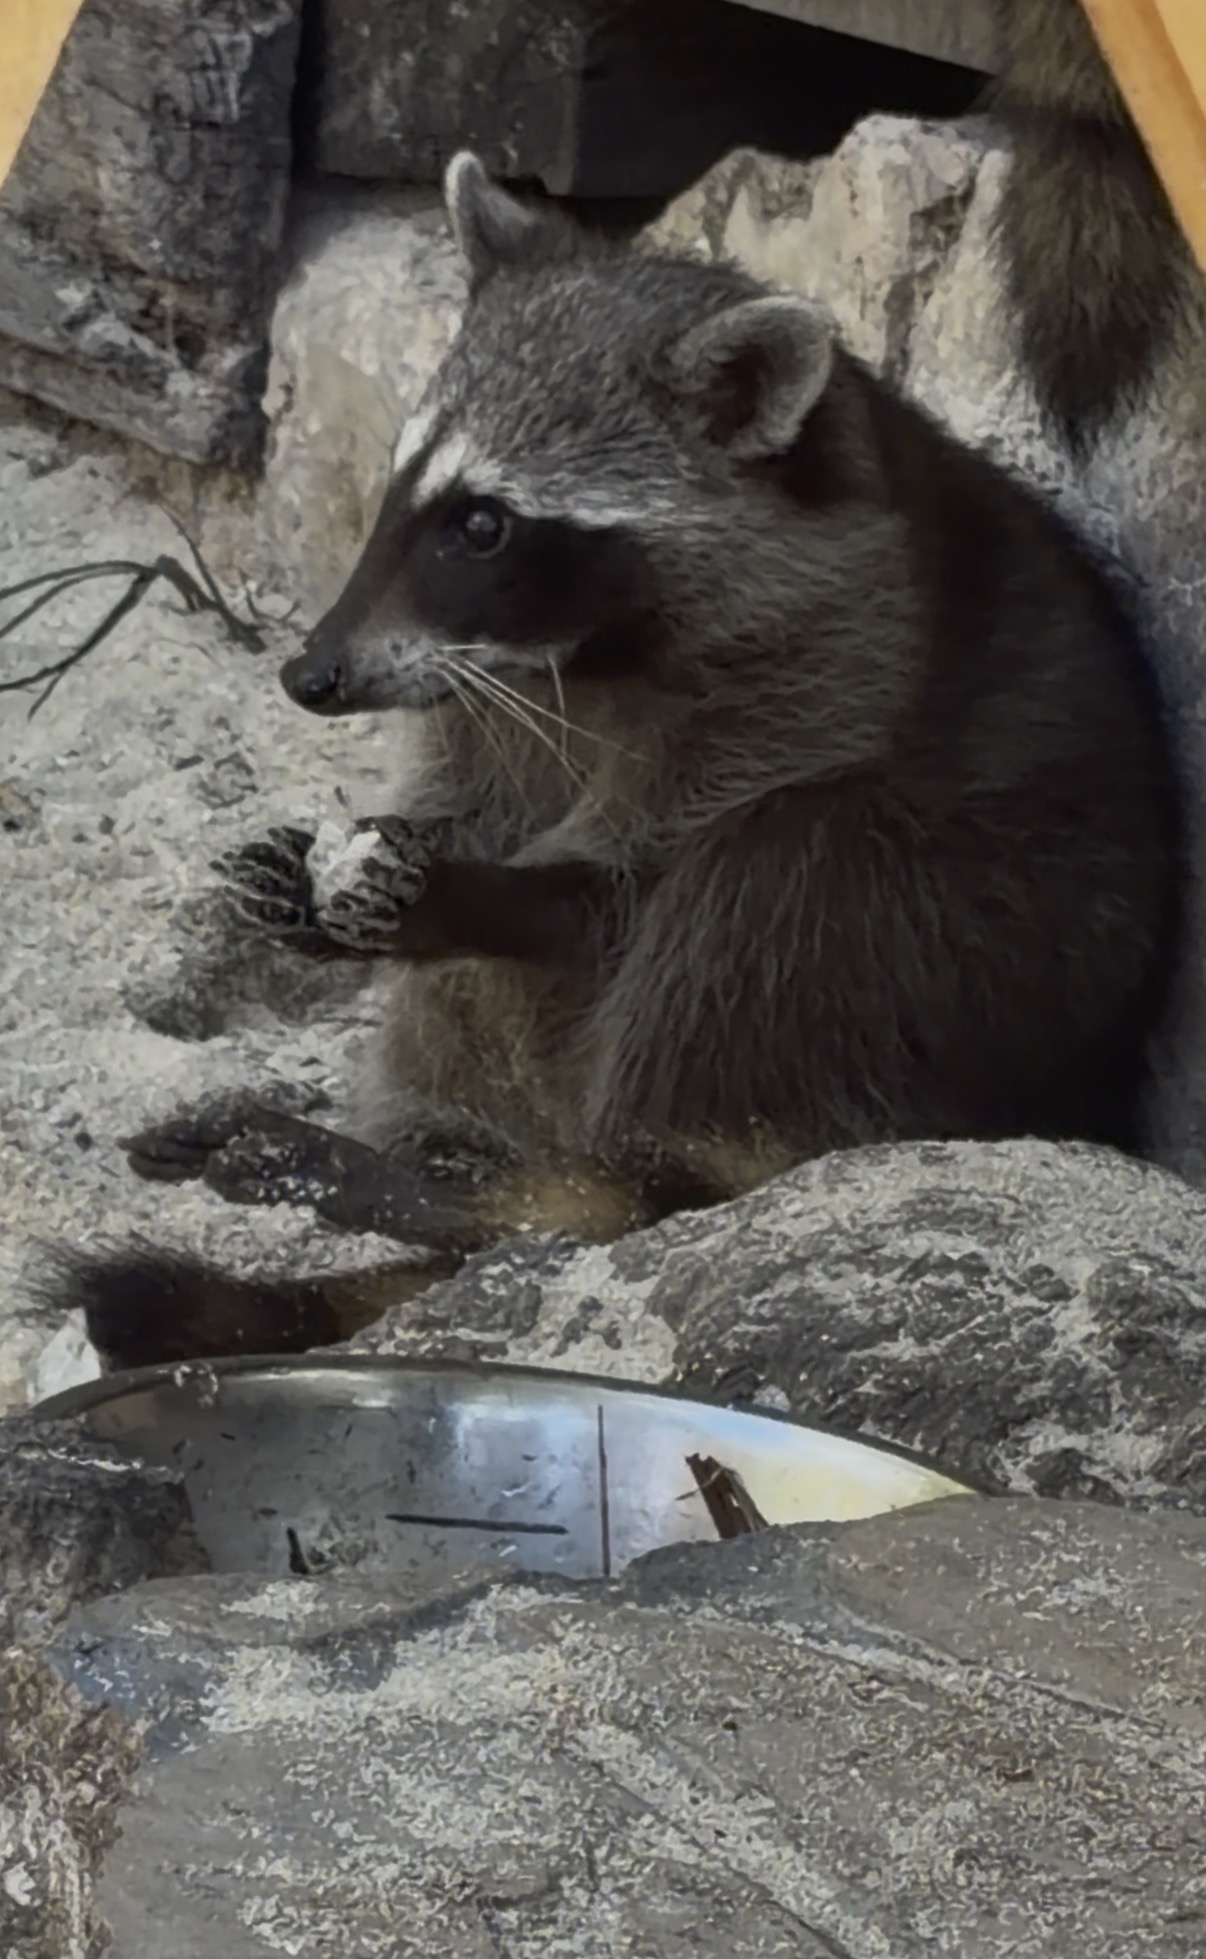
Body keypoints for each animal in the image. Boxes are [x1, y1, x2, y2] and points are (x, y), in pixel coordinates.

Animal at [50, 151, 1182, 1372]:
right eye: (400, 491)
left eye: (483, 525)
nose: (310, 677)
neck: (575, 651)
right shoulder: (482, 699)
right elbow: (470, 811)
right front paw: (308, 881)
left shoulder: (834, 666)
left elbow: (620, 897)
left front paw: (462, 894)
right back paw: (430, 1160)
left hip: (961, 965)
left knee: (777, 878)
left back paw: (473, 1195)